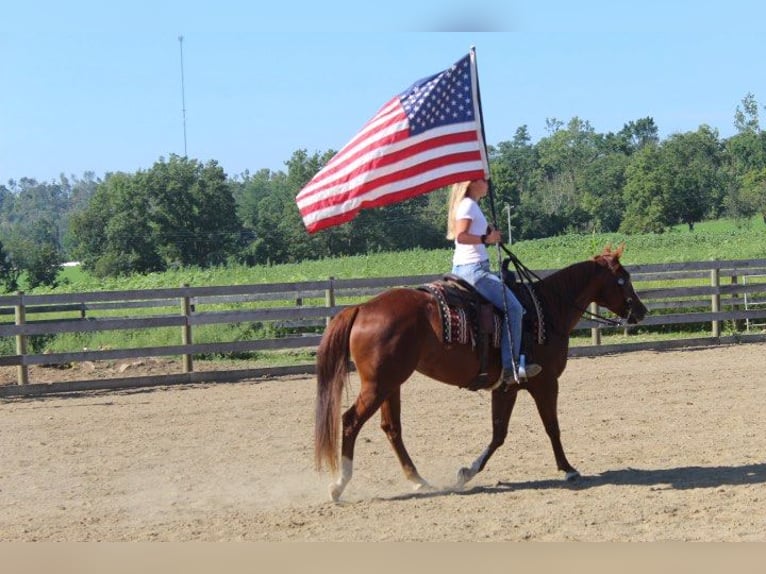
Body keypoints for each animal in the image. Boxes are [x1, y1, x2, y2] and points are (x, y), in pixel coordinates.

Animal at [316, 245, 648, 502]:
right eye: (623, 279)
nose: (641, 311)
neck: (546, 309)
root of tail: (361, 307)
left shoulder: (507, 387)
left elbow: (498, 433)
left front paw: (466, 472)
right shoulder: (545, 383)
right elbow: (552, 427)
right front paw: (568, 469)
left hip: (391, 384)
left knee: (391, 428)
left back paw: (418, 479)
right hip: (378, 384)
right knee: (351, 421)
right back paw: (339, 485)